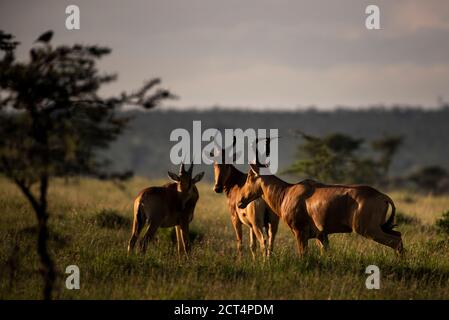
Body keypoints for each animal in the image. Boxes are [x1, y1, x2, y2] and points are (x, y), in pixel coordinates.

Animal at [238, 165, 402, 255]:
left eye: (249, 176)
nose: (240, 202)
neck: (288, 191)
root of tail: (381, 196)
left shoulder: (300, 232)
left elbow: (303, 254)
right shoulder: (321, 235)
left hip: (368, 230)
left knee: (395, 241)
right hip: (380, 227)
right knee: (398, 236)